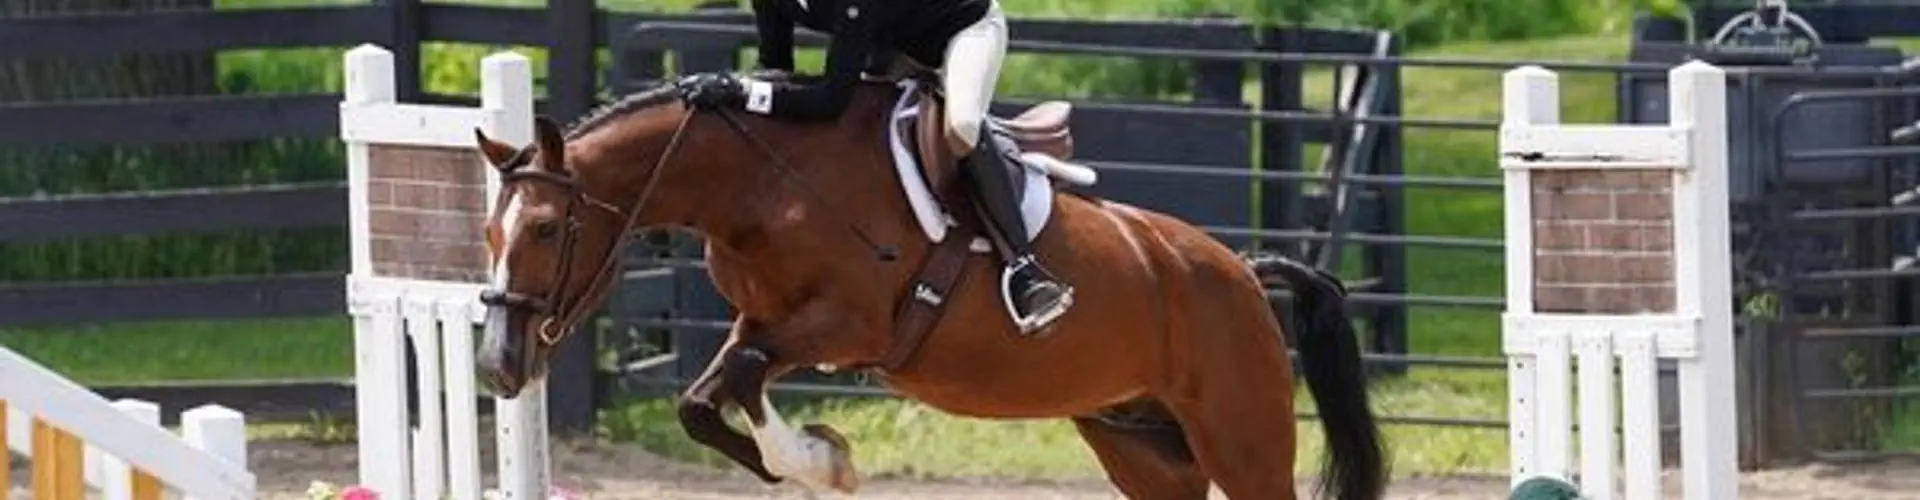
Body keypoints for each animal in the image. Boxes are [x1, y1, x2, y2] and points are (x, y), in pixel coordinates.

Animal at [472, 71, 1390, 500]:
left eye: (546, 229)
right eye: (488, 233)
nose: (497, 368)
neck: (761, 184)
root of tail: (1243, 271)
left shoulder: (850, 326)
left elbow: (738, 380)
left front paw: (821, 459)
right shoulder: (765, 323)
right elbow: (707, 398)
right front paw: (814, 459)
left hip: (1241, 435)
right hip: (1141, 443)